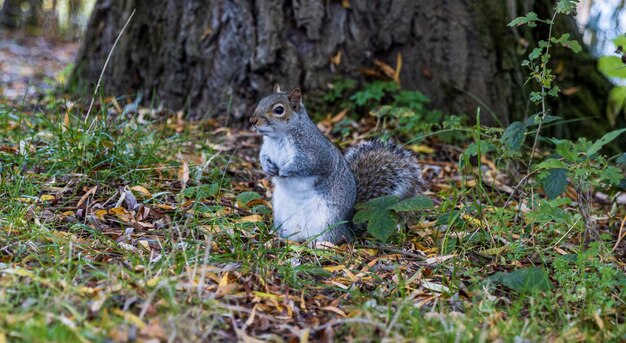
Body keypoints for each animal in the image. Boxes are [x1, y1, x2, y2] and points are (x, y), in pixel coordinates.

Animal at [249, 84, 424, 243]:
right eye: (261, 101)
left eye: (279, 110)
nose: (252, 120)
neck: (278, 138)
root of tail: (349, 229)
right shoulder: (266, 149)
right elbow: (262, 157)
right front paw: (268, 167)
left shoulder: (317, 153)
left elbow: (307, 165)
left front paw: (286, 170)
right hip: (283, 219)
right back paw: (283, 240)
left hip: (328, 220)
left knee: (333, 239)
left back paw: (322, 246)